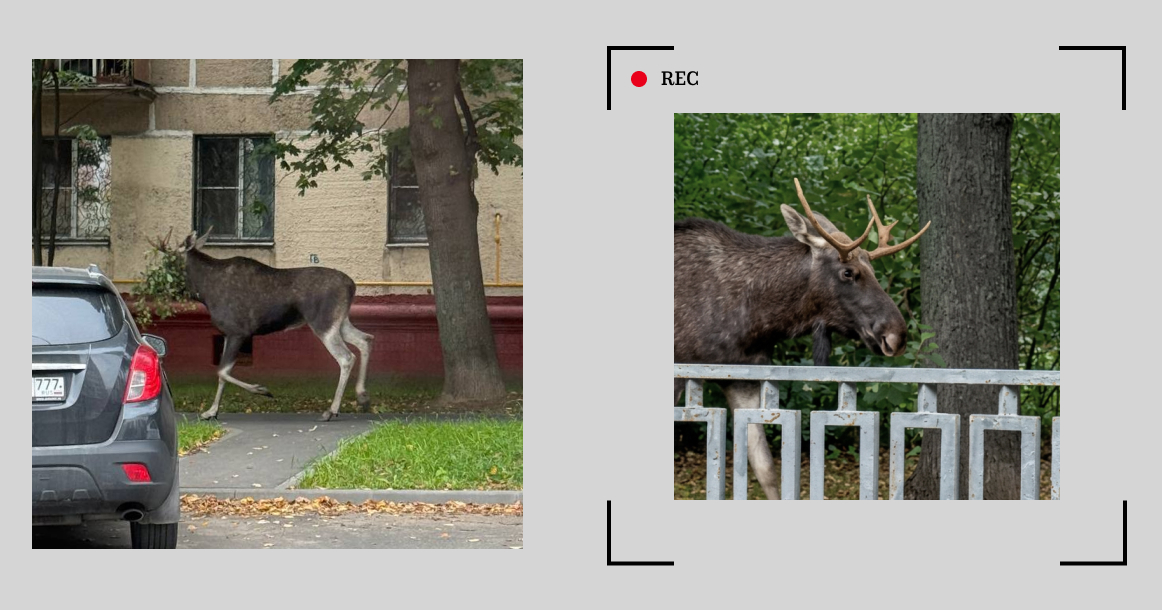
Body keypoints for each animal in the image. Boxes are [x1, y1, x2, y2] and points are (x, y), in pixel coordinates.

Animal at [179, 228, 374, 422]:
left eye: (173, 252)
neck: (204, 291)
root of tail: (352, 286)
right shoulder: (227, 333)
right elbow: (222, 374)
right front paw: (211, 411)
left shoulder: (238, 332)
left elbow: (222, 371)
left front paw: (262, 390)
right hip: (339, 322)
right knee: (365, 339)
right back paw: (362, 396)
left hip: (323, 323)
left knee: (346, 357)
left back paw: (332, 409)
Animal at [674, 178, 930, 499]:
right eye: (848, 272)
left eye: (873, 270)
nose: (897, 334)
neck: (755, 321)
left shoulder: (743, 376)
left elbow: (766, 469)